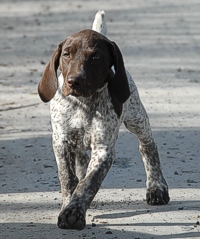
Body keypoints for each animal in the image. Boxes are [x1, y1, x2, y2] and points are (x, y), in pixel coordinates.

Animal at [37, 10, 169, 230]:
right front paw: (68, 204)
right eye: (67, 54)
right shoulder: (61, 141)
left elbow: (89, 183)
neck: (83, 103)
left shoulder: (104, 149)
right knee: (81, 162)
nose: (74, 81)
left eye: (96, 57)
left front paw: (73, 213)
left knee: (148, 146)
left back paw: (157, 187)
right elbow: (68, 178)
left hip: (136, 118)